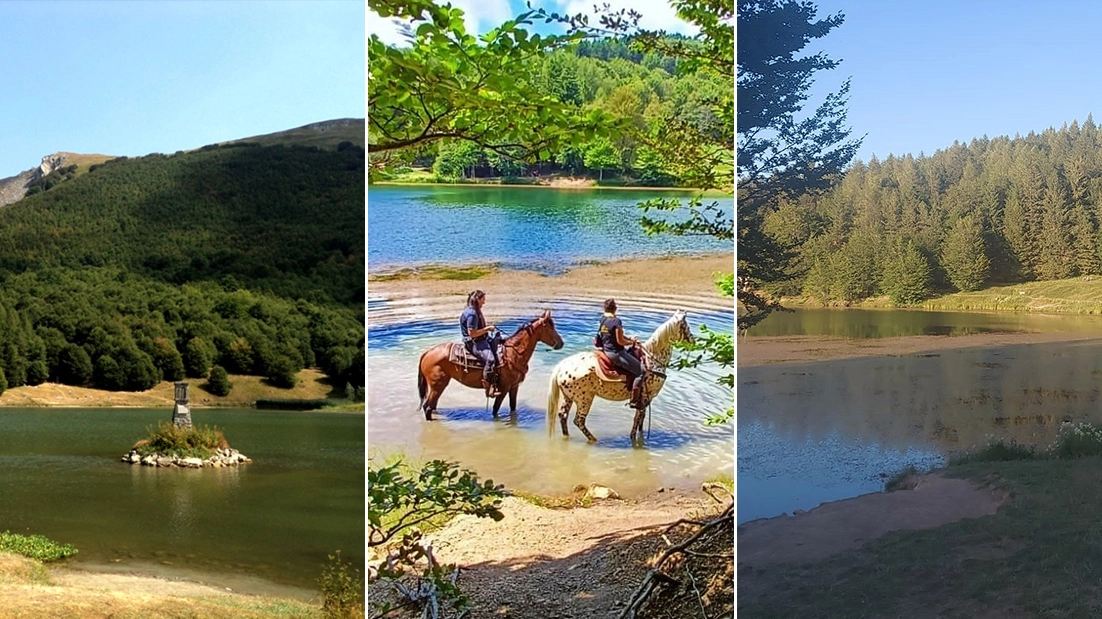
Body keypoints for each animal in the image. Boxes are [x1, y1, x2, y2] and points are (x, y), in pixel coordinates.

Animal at [416, 308, 564, 418]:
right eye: (550, 328)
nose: (561, 343)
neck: (513, 353)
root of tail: (427, 352)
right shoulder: (504, 388)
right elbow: (495, 409)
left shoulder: (514, 386)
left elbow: (513, 407)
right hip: (437, 385)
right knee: (427, 407)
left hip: (438, 386)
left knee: (432, 406)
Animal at [546, 310, 692, 440]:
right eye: (686, 326)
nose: (693, 341)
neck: (652, 359)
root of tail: (561, 367)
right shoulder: (646, 397)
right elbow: (637, 420)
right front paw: (634, 440)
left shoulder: (645, 400)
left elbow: (641, 420)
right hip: (584, 399)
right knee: (579, 421)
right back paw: (594, 440)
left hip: (568, 397)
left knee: (563, 416)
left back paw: (567, 437)